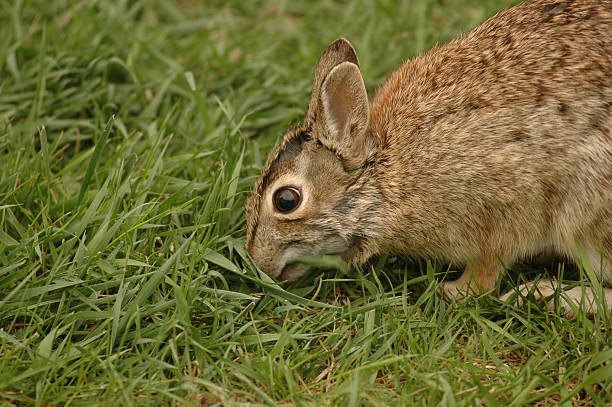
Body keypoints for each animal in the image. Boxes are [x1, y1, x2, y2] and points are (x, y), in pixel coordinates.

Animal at [245, 0, 612, 316]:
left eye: (286, 200)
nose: (257, 263)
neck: (385, 176)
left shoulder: (508, 204)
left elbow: (488, 267)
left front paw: (454, 291)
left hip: (584, 215)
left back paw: (545, 296)